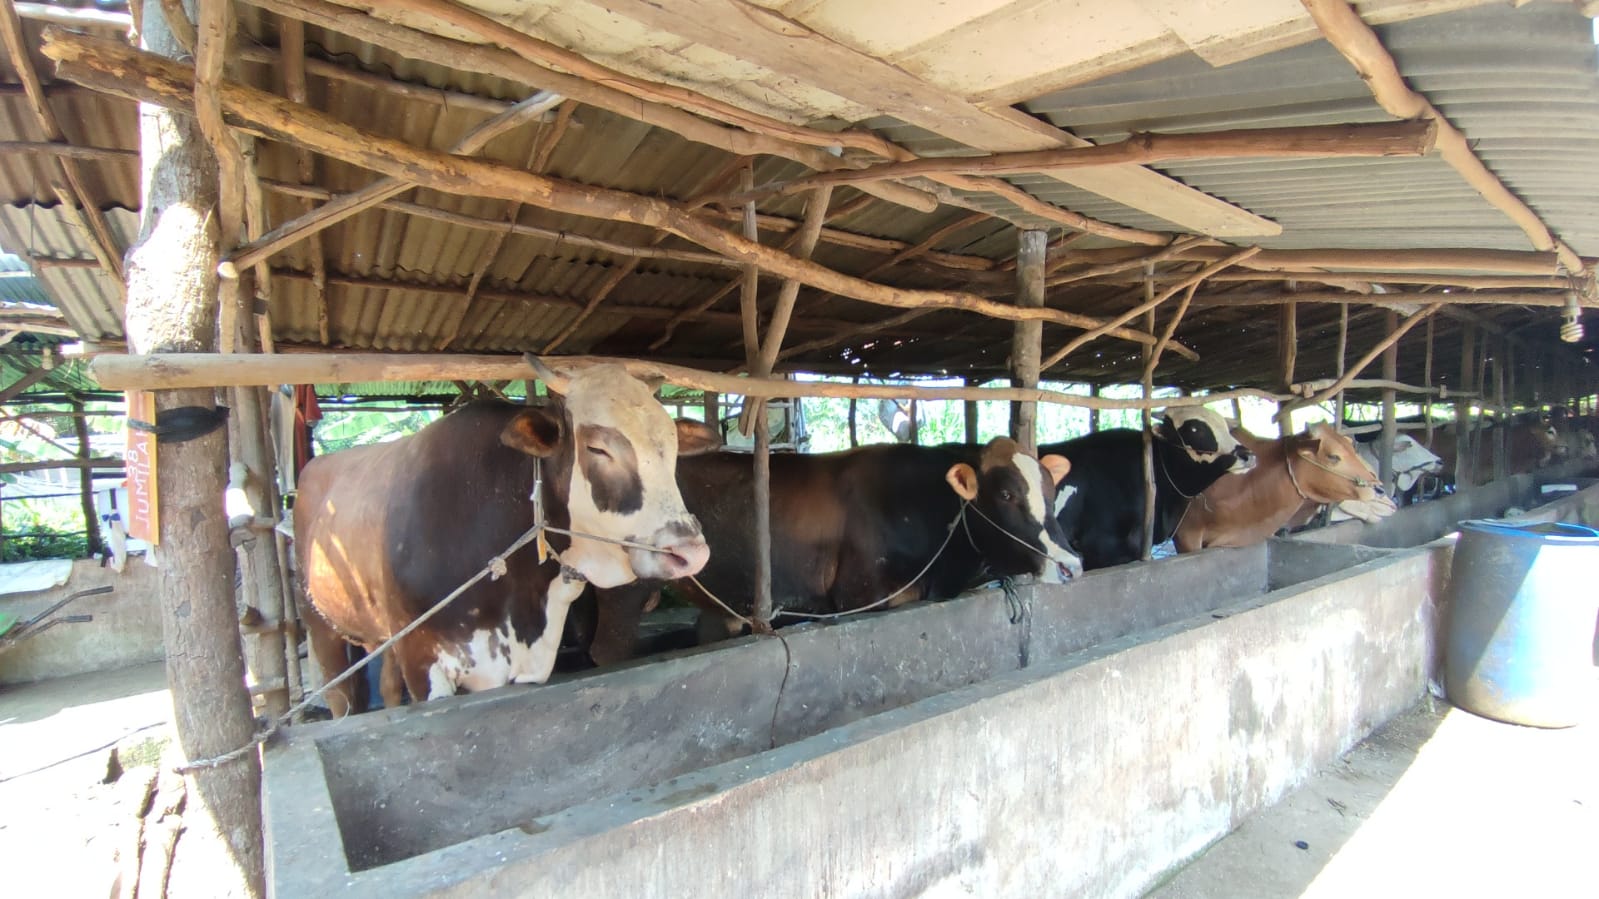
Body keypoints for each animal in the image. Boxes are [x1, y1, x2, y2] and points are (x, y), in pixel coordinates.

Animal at [297, 353, 722, 710]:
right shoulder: (422, 664)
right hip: (321, 625)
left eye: (672, 446)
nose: (689, 553)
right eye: (597, 448)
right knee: (342, 697)